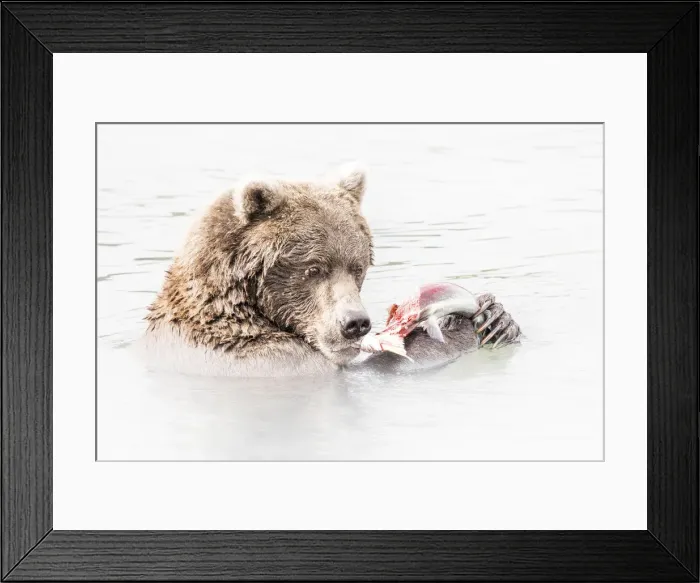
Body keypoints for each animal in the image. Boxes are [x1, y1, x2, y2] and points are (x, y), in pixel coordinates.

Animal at [144, 166, 520, 377]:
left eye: (357, 267)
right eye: (313, 268)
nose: (356, 324)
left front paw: (497, 318)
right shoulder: (262, 360)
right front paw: (463, 325)